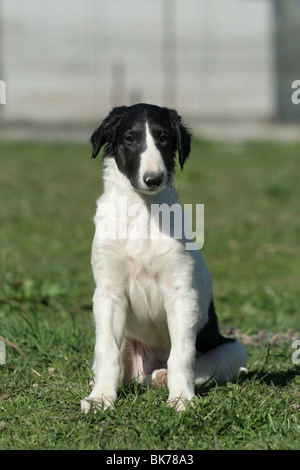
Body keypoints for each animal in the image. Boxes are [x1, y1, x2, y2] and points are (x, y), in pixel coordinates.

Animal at [81, 103, 247, 412]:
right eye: (130, 139)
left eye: (164, 138)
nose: (153, 179)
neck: (142, 211)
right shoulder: (109, 293)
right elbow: (106, 351)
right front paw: (101, 399)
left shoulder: (181, 294)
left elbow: (182, 356)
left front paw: (181, 398)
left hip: (234, 347)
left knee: (195, 365)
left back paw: (162, 378)